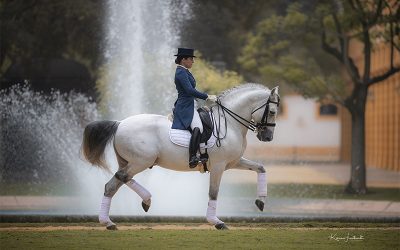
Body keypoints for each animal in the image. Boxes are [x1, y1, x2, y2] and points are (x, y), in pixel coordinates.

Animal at [81, 84, 280, 230]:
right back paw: (135, 206)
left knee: (115, 183)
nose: (268, 137)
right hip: (141, 161)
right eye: (272, 112)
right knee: (120, 178)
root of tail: (120, 123)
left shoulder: (233, 162)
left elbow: (261, 168)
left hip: (130, 161)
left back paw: (114, 219)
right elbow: (213, 193)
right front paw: (216, 222)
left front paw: (261, 202)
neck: (229, 123)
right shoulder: (219, 166)